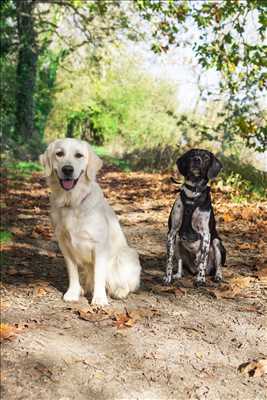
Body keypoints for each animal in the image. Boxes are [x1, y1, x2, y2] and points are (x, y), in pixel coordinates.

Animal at [163, 148, 226, 286]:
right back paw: (178, 275)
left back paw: (217, 276)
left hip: (217, 243)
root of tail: (192, 270)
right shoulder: (172, 233)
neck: (193, 194)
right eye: (192, 154)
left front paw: (200, 279)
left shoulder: (206, 235)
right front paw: (167, 277)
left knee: (218, 266)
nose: (197, 159)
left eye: (206, 157)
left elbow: (203, 259)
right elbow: (169, 259)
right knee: (180, 262)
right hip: (177, 242)